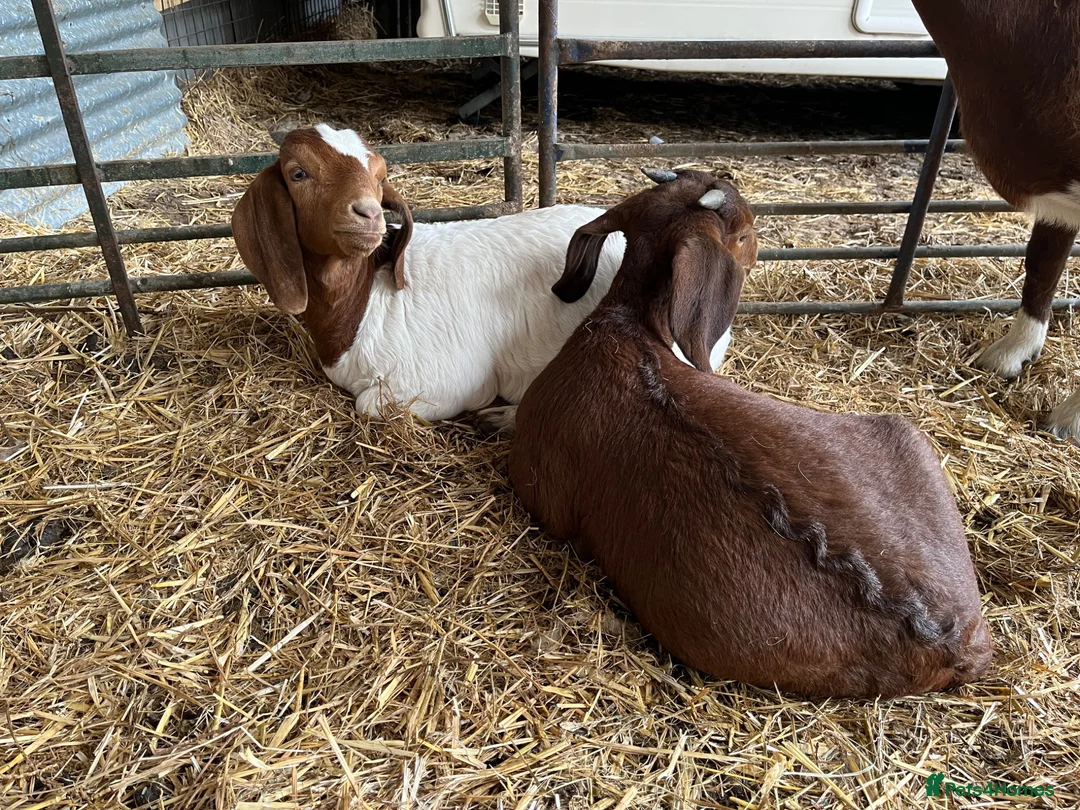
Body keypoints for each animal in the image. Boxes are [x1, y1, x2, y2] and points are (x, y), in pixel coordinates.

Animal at [234, 125, 714, 433]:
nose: (368, 214)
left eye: (380, 175)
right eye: (298, 173)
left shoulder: (441, 380)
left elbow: (368, 403)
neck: (365, 300)